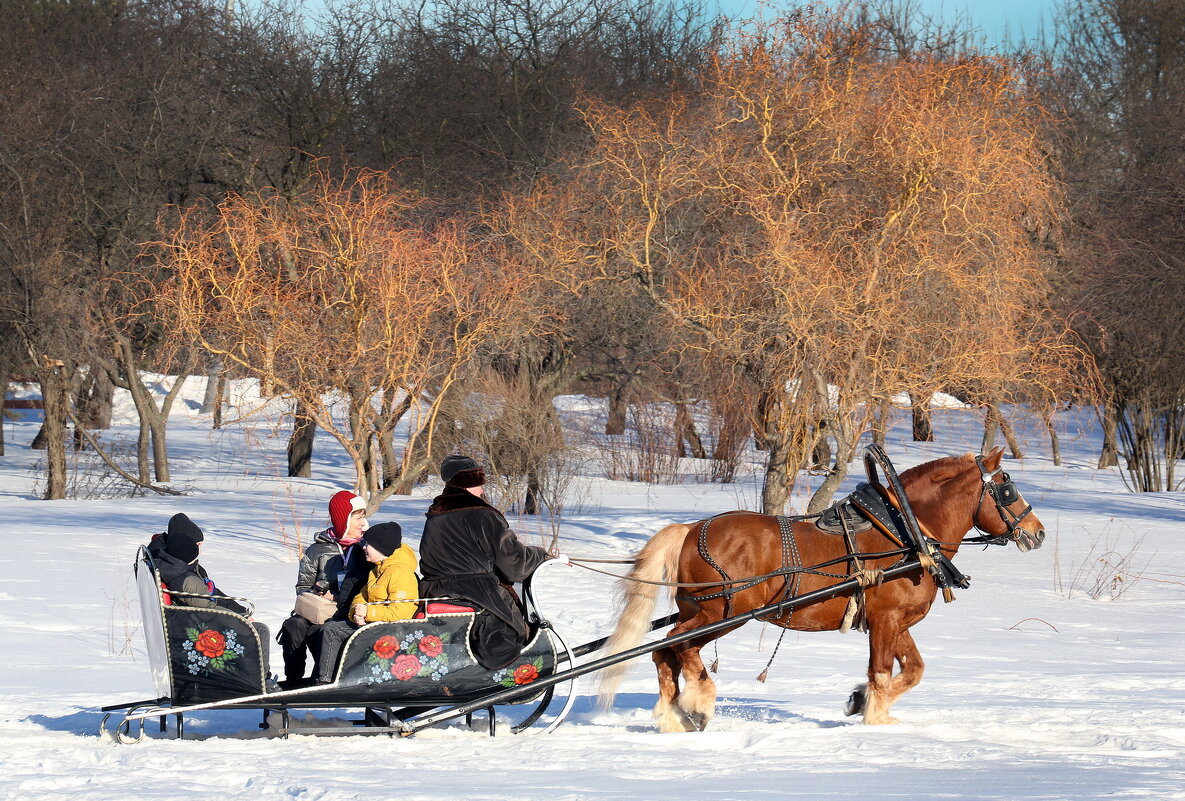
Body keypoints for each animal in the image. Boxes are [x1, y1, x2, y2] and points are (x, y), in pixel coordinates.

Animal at [601, 447, 1047, 734]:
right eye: (1007, 488)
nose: (1038, 532)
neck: (908, 532)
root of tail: (691, 529)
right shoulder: (886, 620)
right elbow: (881, 672)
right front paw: (875, 718)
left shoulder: (895, 622)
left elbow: (913, 670)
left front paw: (860, 701)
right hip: (722, 613)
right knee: (681, 646)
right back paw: (698, 705)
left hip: (700, 611)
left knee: (665, 653)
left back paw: (671, 717)